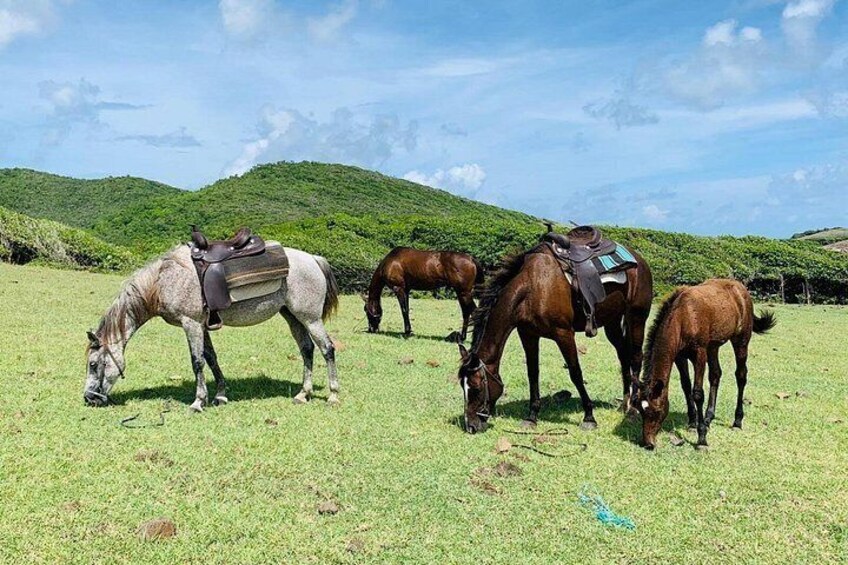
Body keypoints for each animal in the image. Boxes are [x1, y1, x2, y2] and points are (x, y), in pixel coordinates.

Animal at [83, 244, 340, 410]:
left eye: (93, 364)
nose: (88, 398)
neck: (163, 280)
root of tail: (313, 259)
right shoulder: (202, 326)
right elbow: (211, 358)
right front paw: (220, 396)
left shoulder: (191, 323)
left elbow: (197, 361)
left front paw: (198, 401)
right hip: (293, 317)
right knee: (307, 349)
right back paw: (303, 394)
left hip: (310, 318)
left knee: (327, 349)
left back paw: (333, 395)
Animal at [455, 242, 653, 433]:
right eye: (462, 387)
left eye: (476, 388)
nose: (471, 426)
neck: (533, 287)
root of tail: (640, 260)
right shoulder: (528, 335)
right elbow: (532, 373)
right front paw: (531, 416)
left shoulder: (564, 334)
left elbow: (575, 373)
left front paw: (589, 417)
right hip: (612, 322)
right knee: (623, 356)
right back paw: (624, 405)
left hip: (636, 318)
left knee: (636, 358)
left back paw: (633, 410)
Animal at [637, 279, 777, 450]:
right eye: (640, 411)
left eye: (656, 411)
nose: (648, 443)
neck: (683, 317)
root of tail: (740, 288)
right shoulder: (679, 357)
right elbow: (686, 386)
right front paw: (693, 422)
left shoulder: (699, 354)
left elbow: (697, 393)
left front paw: (702, 438)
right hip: (713, 347)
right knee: (715, 374)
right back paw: (708, 418)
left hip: (741, 341)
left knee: (741, 376)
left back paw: (737, 421)